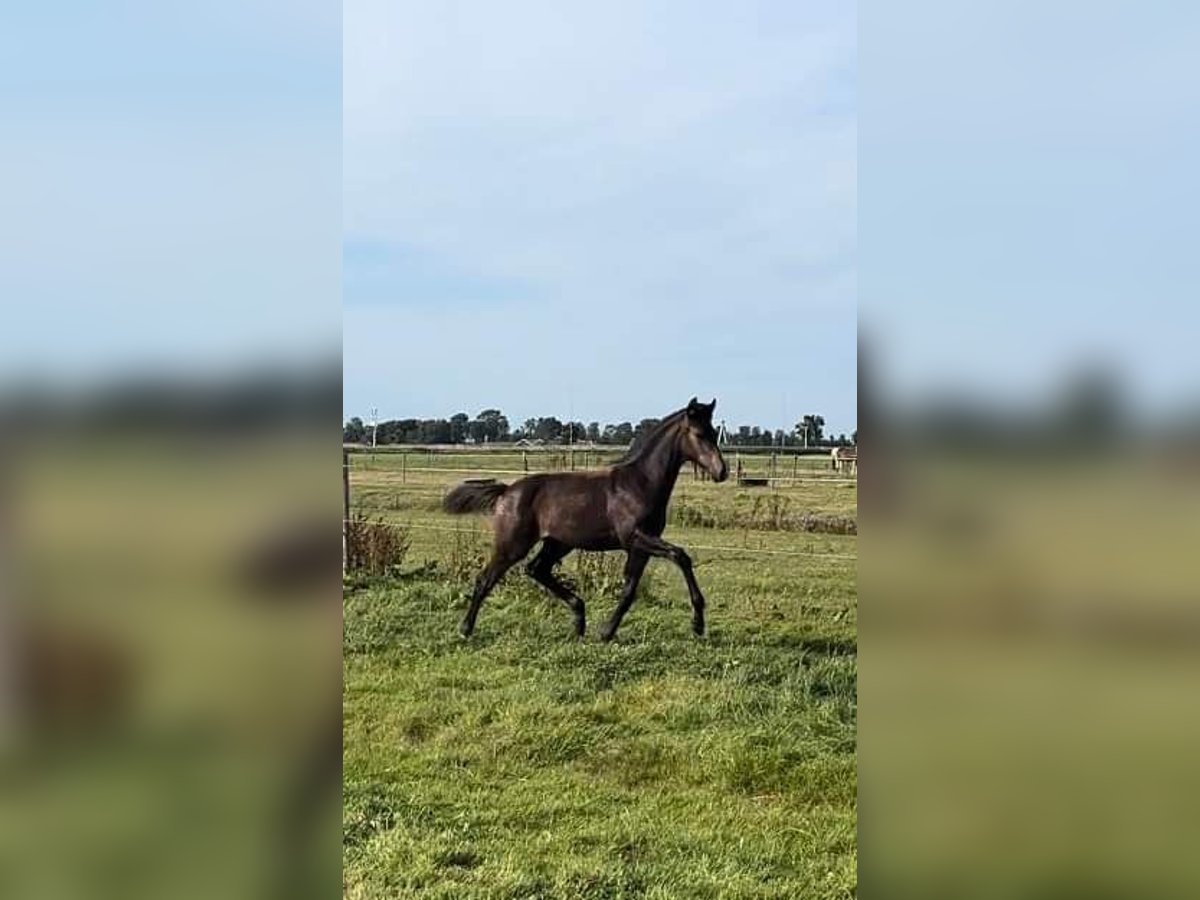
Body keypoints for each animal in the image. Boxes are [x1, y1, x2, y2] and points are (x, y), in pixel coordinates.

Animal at [441, 400, 720, 643]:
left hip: (558, 543)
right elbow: (680, 556)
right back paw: (465, 629)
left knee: (536, 569)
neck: (639, 484)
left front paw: (606, 632)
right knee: (486, 579)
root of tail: (507, 491)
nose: (721, 471)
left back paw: (579, 619)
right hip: (513, 544)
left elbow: (629, 591)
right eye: (699, 434)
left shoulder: (640, 547)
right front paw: (698, 623)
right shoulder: (636, 537)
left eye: (715, 433)